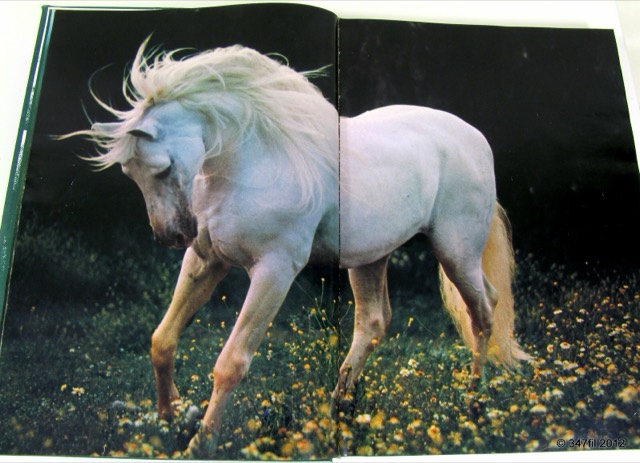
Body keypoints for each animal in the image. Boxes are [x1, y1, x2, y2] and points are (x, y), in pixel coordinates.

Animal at [67, 40, 529, 457]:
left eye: (161, 169)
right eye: (130, 173)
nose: (173, 236)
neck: (252, 162)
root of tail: (475, 140)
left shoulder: (274, 271)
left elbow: (231, 364)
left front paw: (200, 443)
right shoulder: (205, 261)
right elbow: (162, 339)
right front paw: (171, 418)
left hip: (455, 253)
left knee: (483, 311)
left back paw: (473, 406)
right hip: (370, 258)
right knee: (374, 322)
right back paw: (340, 407)